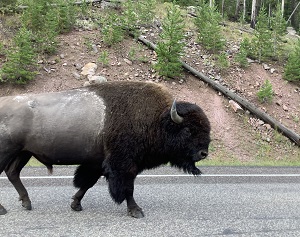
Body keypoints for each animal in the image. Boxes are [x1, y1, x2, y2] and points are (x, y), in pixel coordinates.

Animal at [0, 81, 211, 218]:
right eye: (188, 130)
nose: (203, 153)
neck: (158, 120)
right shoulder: (124, 165)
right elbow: (127, 188)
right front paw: (136, 211)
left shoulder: (97, 163)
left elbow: (87, 183)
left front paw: (75, 204)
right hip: (8, 152)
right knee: (8, 172)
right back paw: (4, 209)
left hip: (23, 153)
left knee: (13, 173)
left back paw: (27, 203)